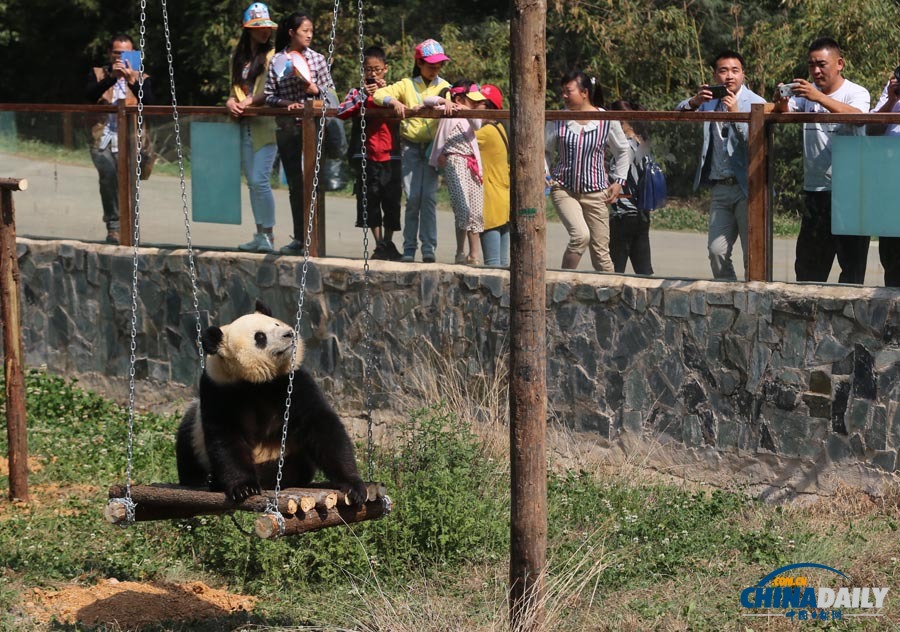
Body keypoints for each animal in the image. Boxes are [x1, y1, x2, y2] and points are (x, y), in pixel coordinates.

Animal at [175, 300, 367, 506]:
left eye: (276, 323)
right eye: (260, 337)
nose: (289, 333)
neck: (257, 381)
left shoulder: (291, 381)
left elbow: (320, 424)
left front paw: (353, 484)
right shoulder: (218, 388)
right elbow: (225, 435)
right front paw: (245, 487)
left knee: (292, 467)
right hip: (196, 436)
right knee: (187, 441)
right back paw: (206, 479)